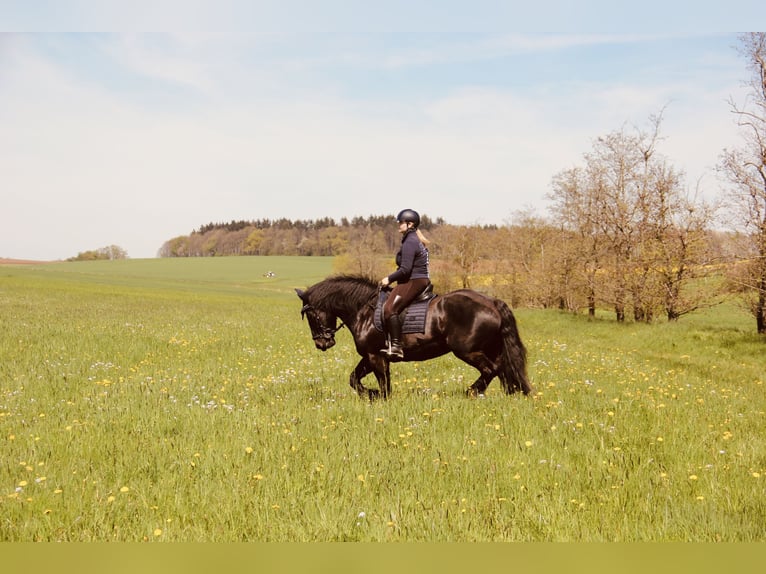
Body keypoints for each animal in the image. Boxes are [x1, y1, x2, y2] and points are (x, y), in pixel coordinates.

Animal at [296, 276, 536, 402]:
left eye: (310, 315)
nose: (322, 343)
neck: (363, 311)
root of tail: (492, 302)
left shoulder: (375, 357)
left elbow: (382, 385)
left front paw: (377, 396)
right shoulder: (370, 357)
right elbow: (354, 379)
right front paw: (372, 394)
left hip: (468, 351)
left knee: (491, 370)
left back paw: (470, 392)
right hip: (492, 348)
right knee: (504, 371)